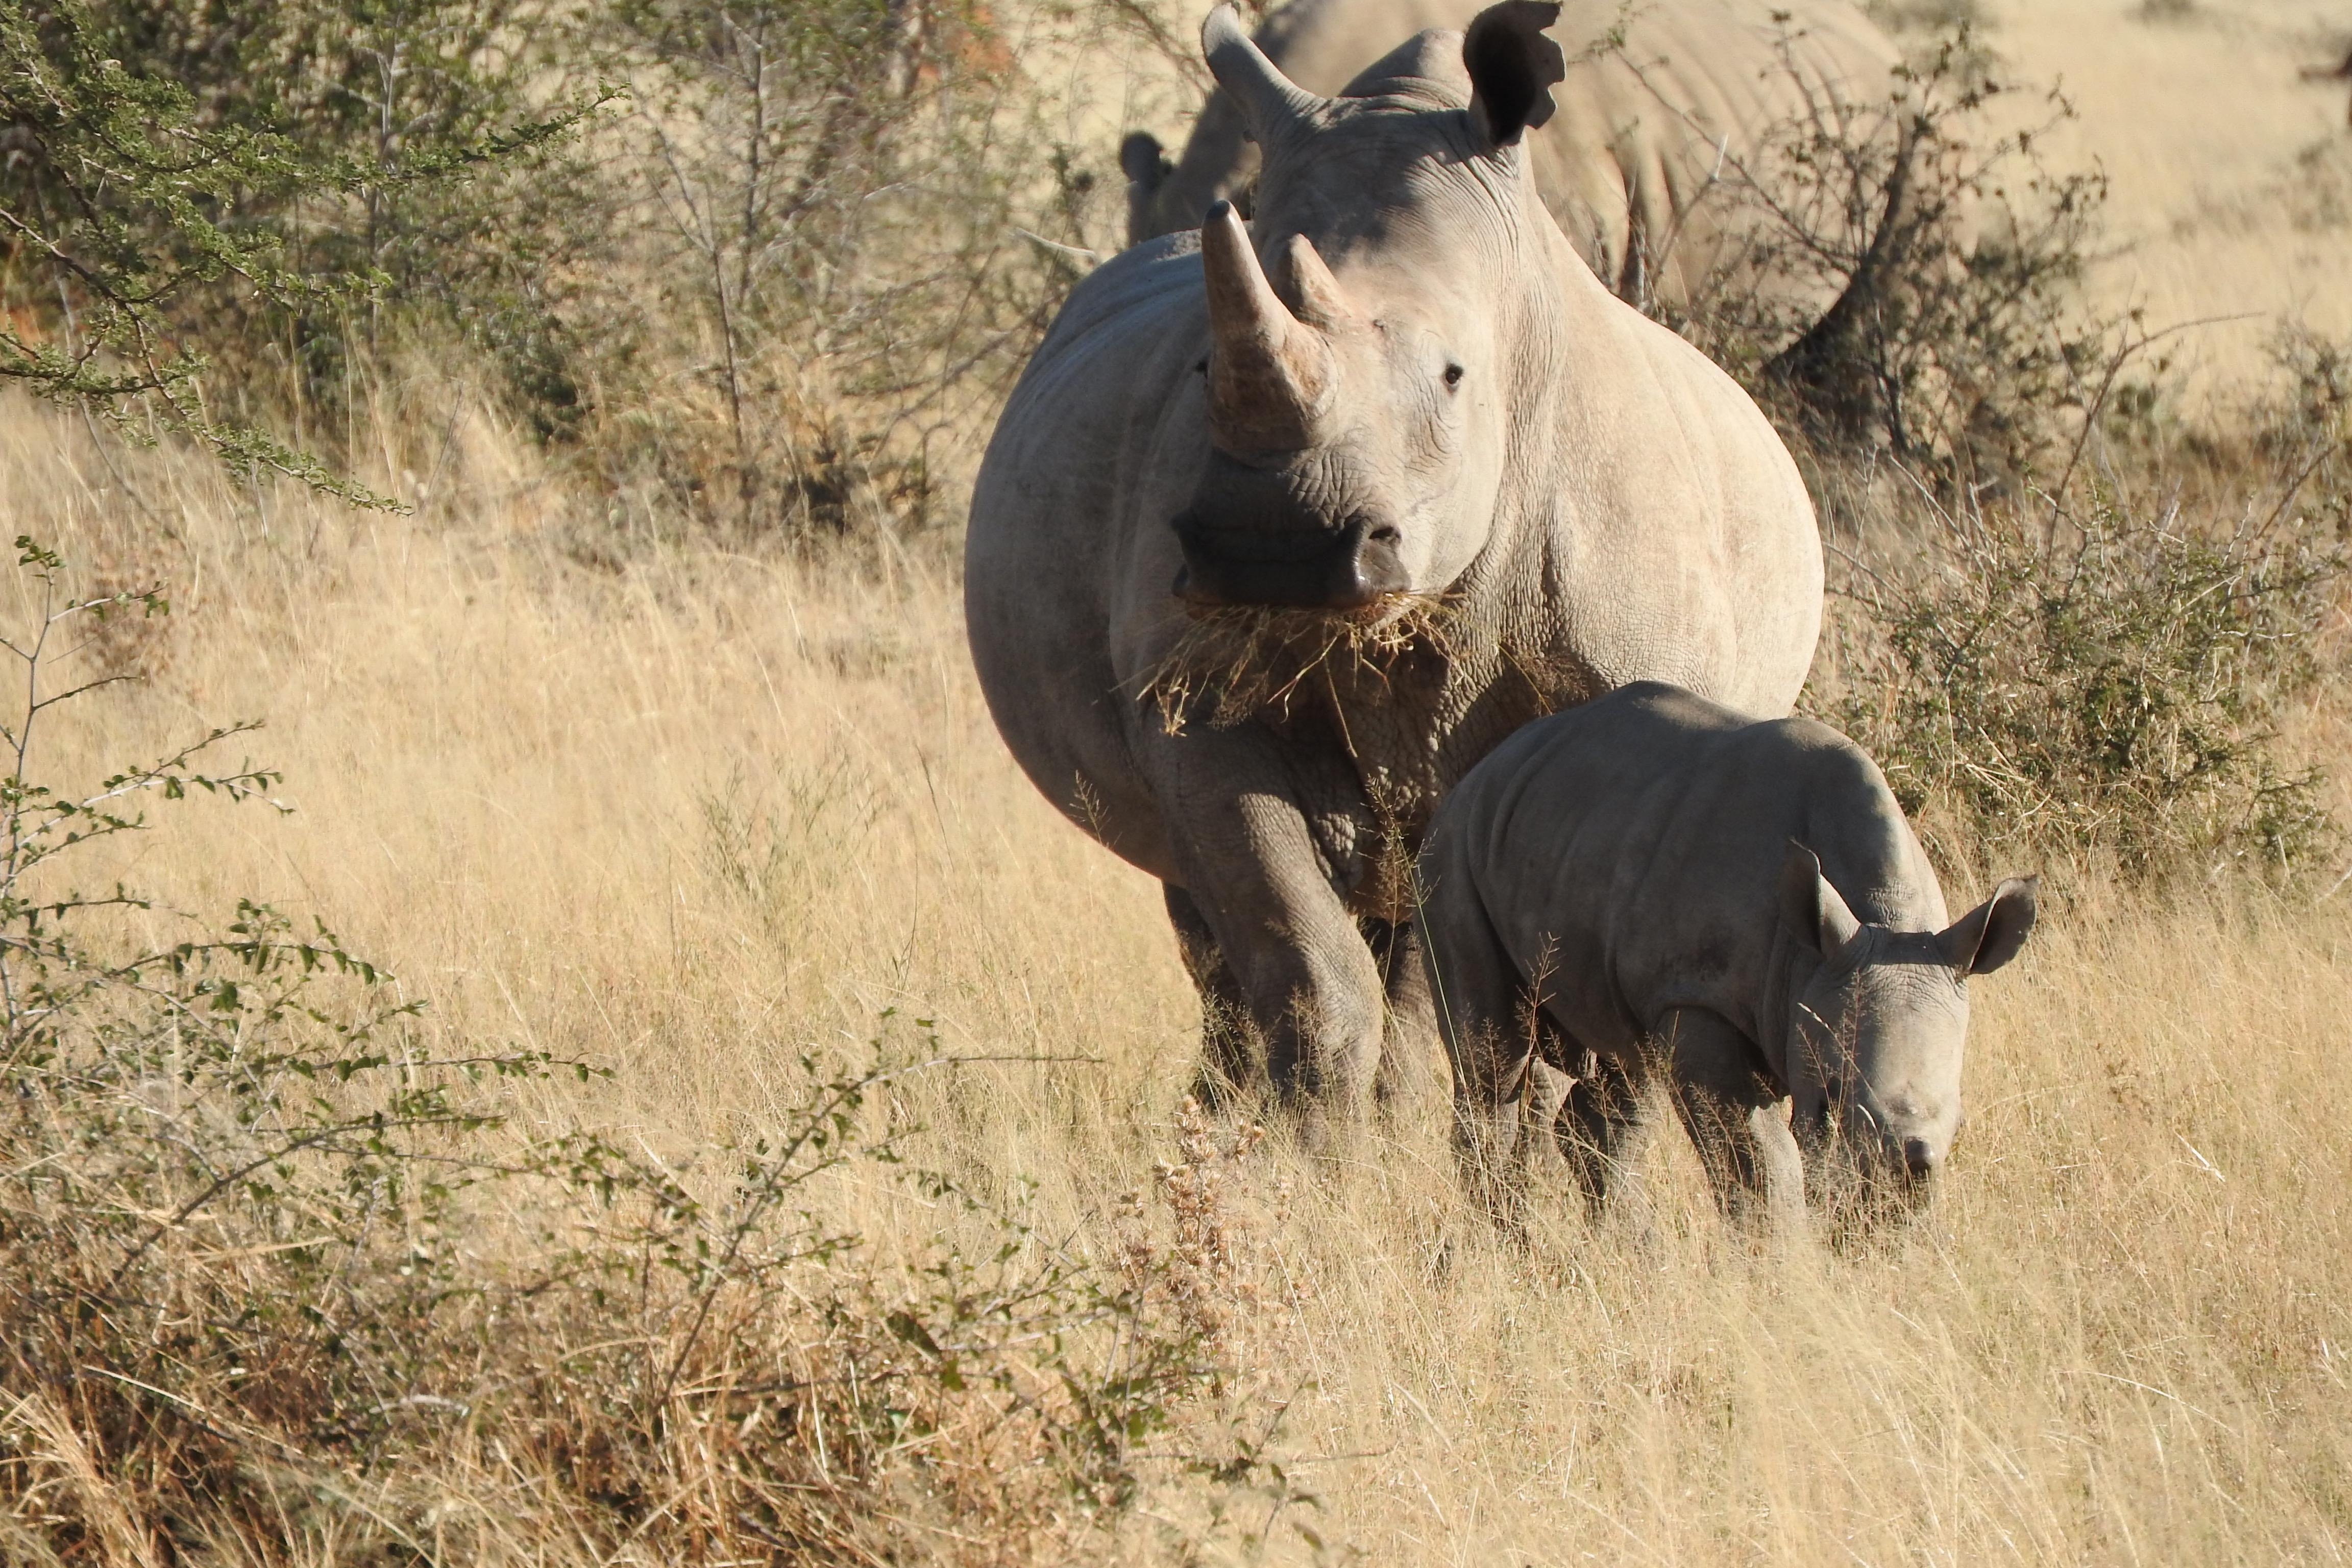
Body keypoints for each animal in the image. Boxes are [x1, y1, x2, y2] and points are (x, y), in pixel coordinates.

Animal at [1411, 681, 2041, 1222]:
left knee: (1626, 1067)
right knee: (1494, 1063)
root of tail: (1480, 772)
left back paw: (1637, 1257)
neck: (1879, 915)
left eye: (1959, 1117)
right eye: (1828, 1100)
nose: (1888, 1207)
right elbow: (1761, 1164)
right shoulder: (1699, 998)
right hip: (1453, 852)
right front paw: (1780, 1270)